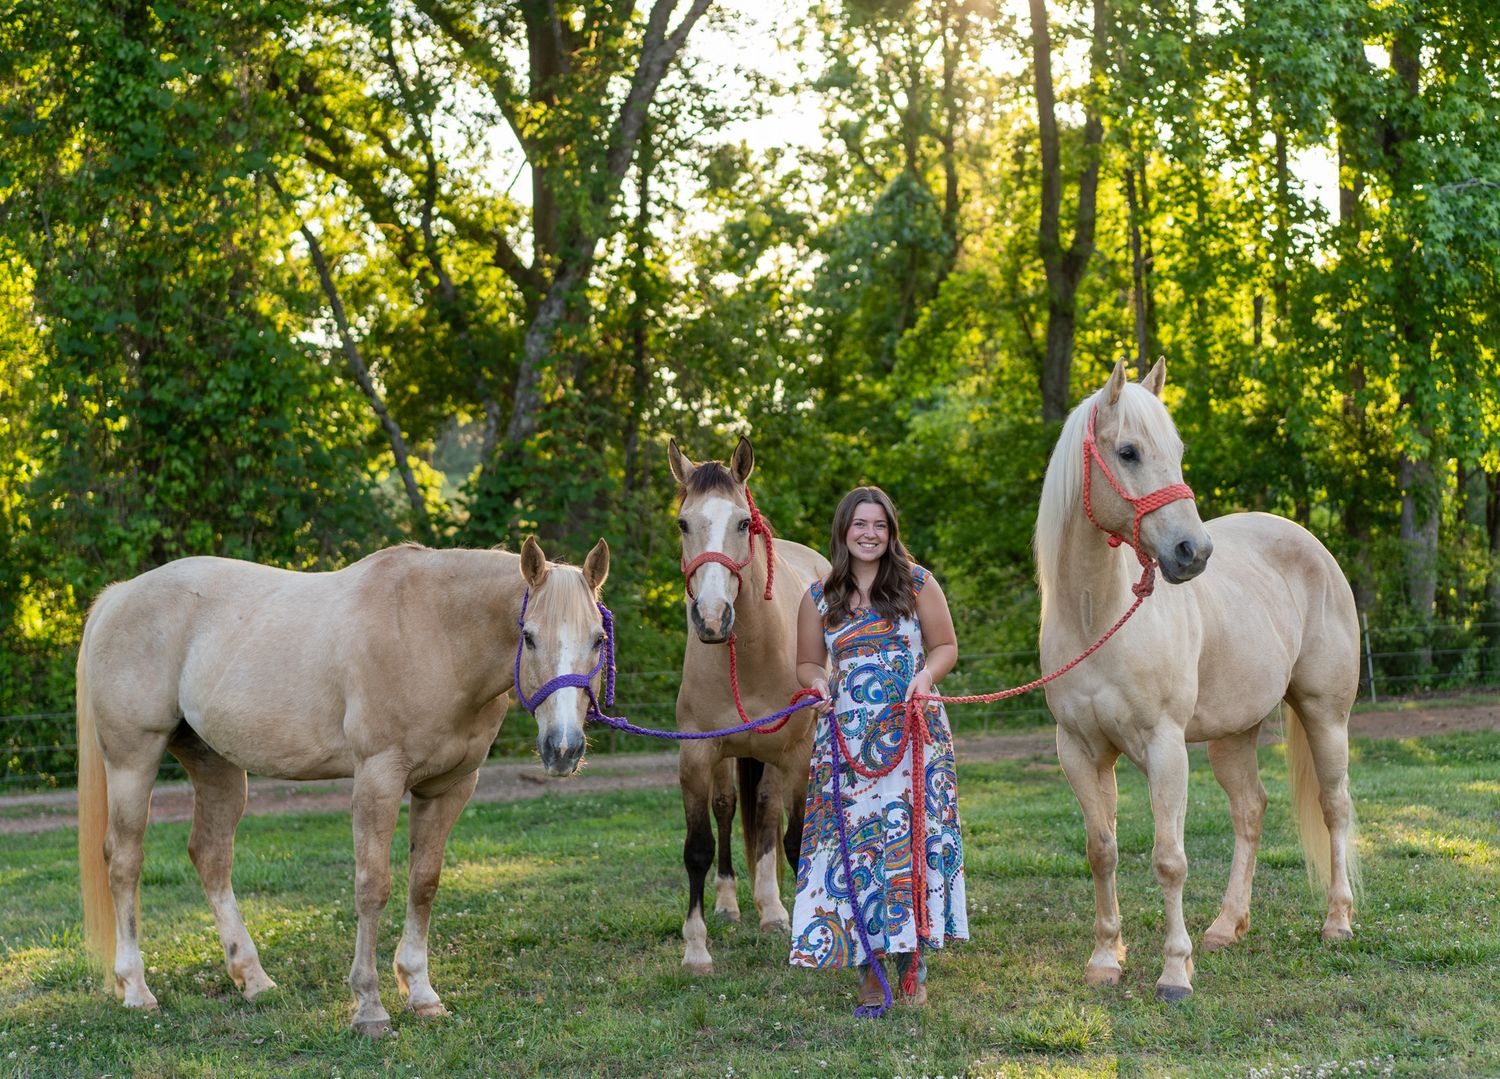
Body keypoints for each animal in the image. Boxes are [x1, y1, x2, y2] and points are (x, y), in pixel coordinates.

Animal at [76, 536, 610, 1036]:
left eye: (598, 639)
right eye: (529, 637)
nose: (563, 748)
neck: (434, 633)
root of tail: (119, 596)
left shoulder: (448, 787)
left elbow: (424, 884)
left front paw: (421, 993)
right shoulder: (378, 777)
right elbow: (373, 887)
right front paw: (370, 1006)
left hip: (217, 766)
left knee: (210, 857)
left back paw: (253, 979)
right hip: (133, 760)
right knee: (124, 862)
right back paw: (136, 989)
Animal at [667, 437, 830, 974]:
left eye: (743, 523)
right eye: (683, 523)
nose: (713, 617)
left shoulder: (795, 755)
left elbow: (793, 838)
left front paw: (795, 923)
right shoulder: (696, 755)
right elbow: (699, 847)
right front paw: (696, 948)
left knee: (766, 813)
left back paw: (773, 910)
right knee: (730, 809)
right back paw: (733, 905)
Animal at [1035, 359, 1361, 1001]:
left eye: (1177, 450)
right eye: (1129, 451)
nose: (1194, 551)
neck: (1097, 618)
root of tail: (1312, 544)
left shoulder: (1165, 747)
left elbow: (1169, 858)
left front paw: (1174, 972)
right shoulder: (1079, 750)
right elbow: (1102, 850)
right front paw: (1105, 958)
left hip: (1324, 715)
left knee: (1333, 805)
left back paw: (1337, 921)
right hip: (1233, 734)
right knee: (1251, 811)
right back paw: (1226, 926)